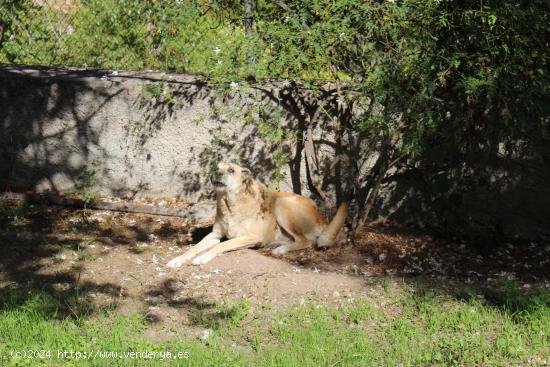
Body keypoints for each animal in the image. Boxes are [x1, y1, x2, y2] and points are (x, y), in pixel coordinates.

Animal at [165, 162, 350, 268]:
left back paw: (281, 249)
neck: (229, 204)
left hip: (281, 204)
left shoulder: (251, 236)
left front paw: (203, 257)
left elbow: (222, 245)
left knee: (306, 241)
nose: (214, 173)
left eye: (231, 170)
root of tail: (322, 217)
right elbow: (195, 247)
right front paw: (178, 259)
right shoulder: (215, 234)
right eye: (216, 168)